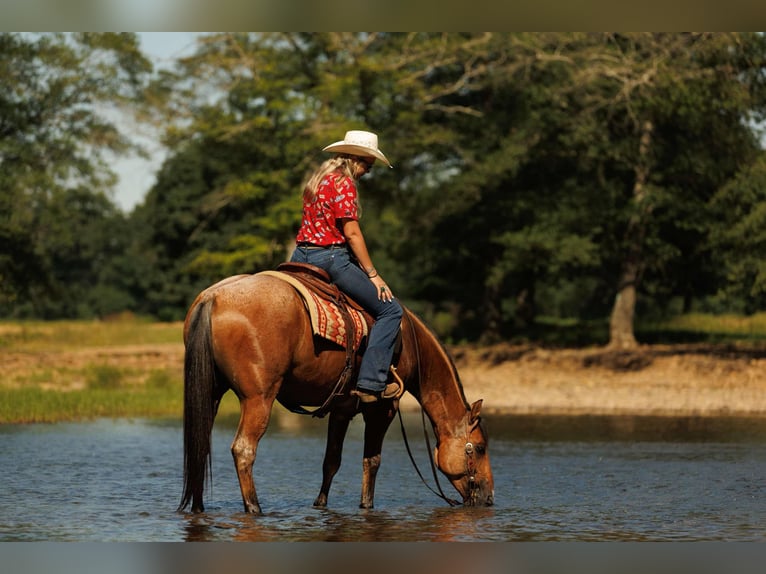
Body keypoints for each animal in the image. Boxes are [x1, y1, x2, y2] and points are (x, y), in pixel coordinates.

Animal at [178, 270, 495, 514]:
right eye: (479, 447)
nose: (489, 497)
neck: (410, 344)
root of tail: (212, 298)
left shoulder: (342, 408)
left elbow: (331, 460)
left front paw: (320, 504)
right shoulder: (383, 408)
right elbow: (372, 460)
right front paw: (366, 506)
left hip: (212, 393)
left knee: (200, 444)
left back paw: (198, 506)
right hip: (258, 399)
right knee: (243, 449)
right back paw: (254, 508)